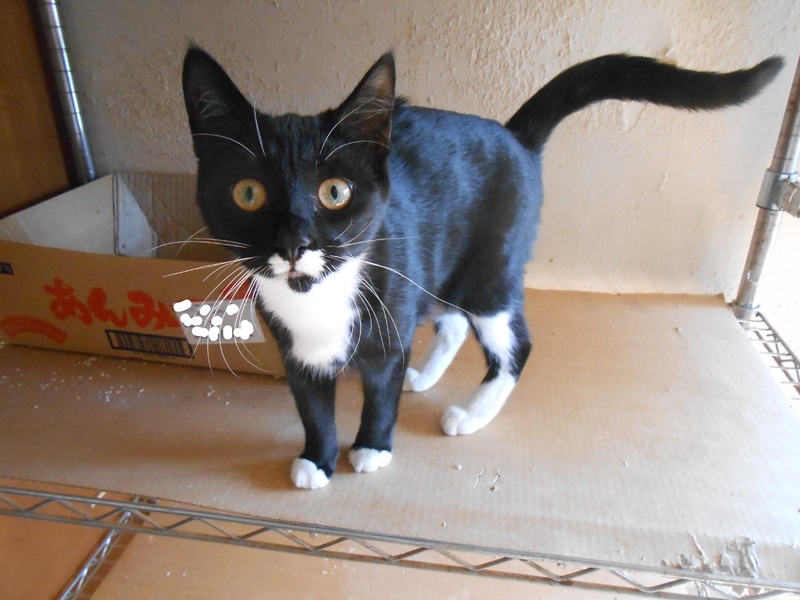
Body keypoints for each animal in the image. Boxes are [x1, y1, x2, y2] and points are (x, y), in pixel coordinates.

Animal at [182, 47, 781, 489]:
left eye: (335, 192)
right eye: (248, 193)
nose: (294, 241)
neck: (316, 295)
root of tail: (514, 135)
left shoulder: (389, 316)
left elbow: (381, 388)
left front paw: (372, 447)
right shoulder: (297, 350)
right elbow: (312, 404)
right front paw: (317, 458)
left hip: (488, 274)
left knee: (513, 343)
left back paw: (469, 414)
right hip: (445, 270)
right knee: (449, 322)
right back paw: (424, 375)